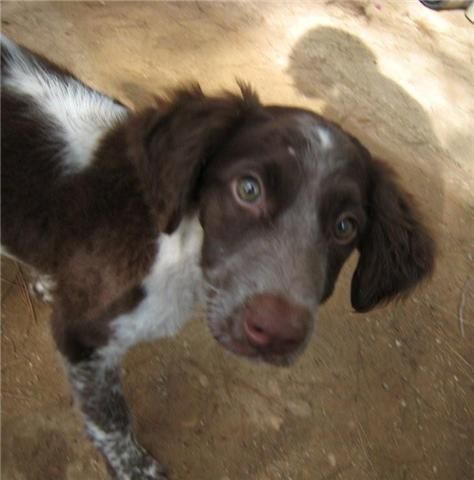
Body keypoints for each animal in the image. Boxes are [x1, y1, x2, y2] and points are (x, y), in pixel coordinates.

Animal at [0, 34, 436, 480]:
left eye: (345, 227)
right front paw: (136, 468)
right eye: (248, 188)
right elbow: (111, 418)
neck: (177, 243)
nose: (276, 333)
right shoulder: (82, 336)